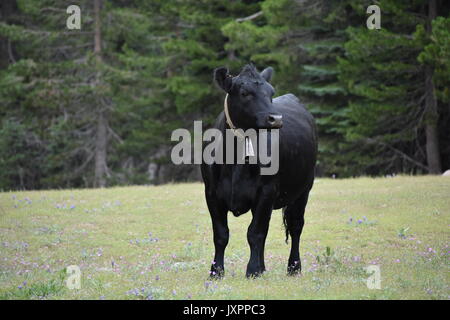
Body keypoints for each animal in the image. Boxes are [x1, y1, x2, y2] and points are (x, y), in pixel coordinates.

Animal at [200, 64, 316, 278]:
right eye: (244, 93)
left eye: (271, 92)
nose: (275, 119)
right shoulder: (211, 193)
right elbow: (221, 234)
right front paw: (216, 271)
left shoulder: (266, 192)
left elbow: (255, 233)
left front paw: (253, 270)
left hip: (304, 188)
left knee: (295, 226)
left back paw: (294, 267)